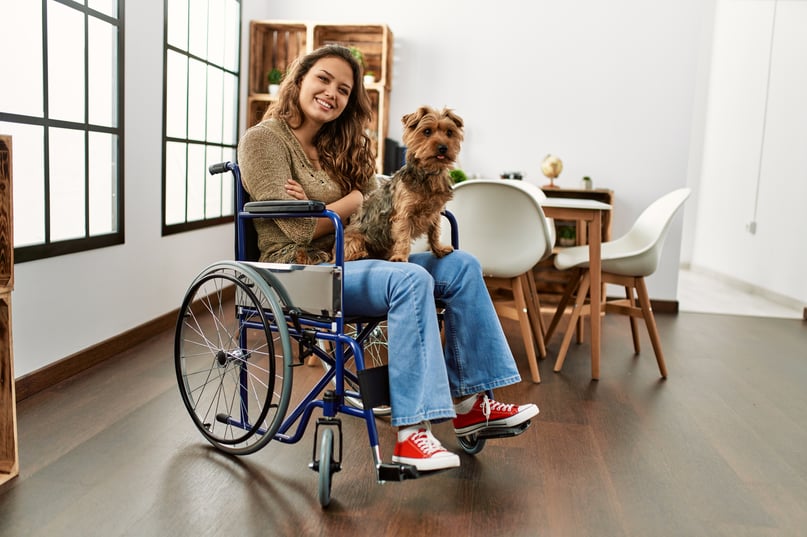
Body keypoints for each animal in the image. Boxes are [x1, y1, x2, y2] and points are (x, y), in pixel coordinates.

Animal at [342, 105, 468, 262]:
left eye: (449, 133)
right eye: (427, 131)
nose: (443, 147)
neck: (428, 173)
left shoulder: (435, 212)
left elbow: (434, 232)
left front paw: (439, 249)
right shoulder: (403, 214)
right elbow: (403, 236)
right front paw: (400, 257)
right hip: (356, 237)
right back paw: (359, 254)